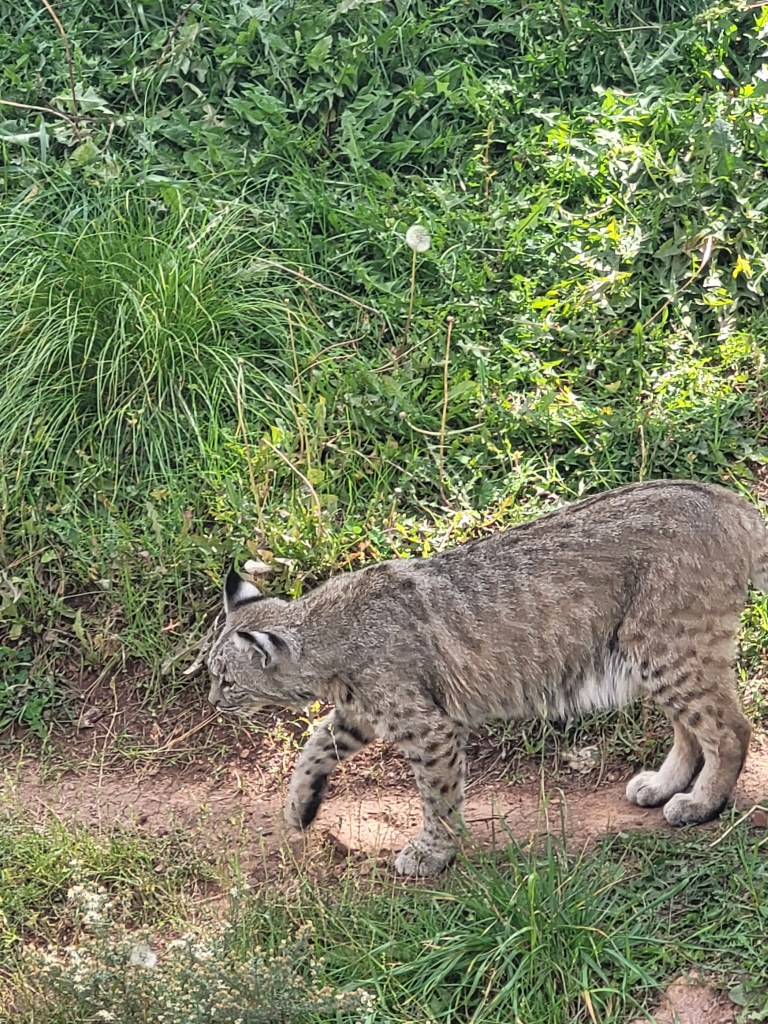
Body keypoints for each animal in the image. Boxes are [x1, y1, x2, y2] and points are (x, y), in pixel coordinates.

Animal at [205, 480, 767, 876]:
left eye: (226, 680)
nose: (212, 700)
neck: (321, 630)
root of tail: (725, 497)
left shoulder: (428, 726)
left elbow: (436, 794)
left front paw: (432, 853)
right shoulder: (363, 713)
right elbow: (317, 743)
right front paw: (299, 807)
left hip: (666, 647)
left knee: (730, 729)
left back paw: (700, 804)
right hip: (650, 652)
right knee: (691, 728)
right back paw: (663, 786)